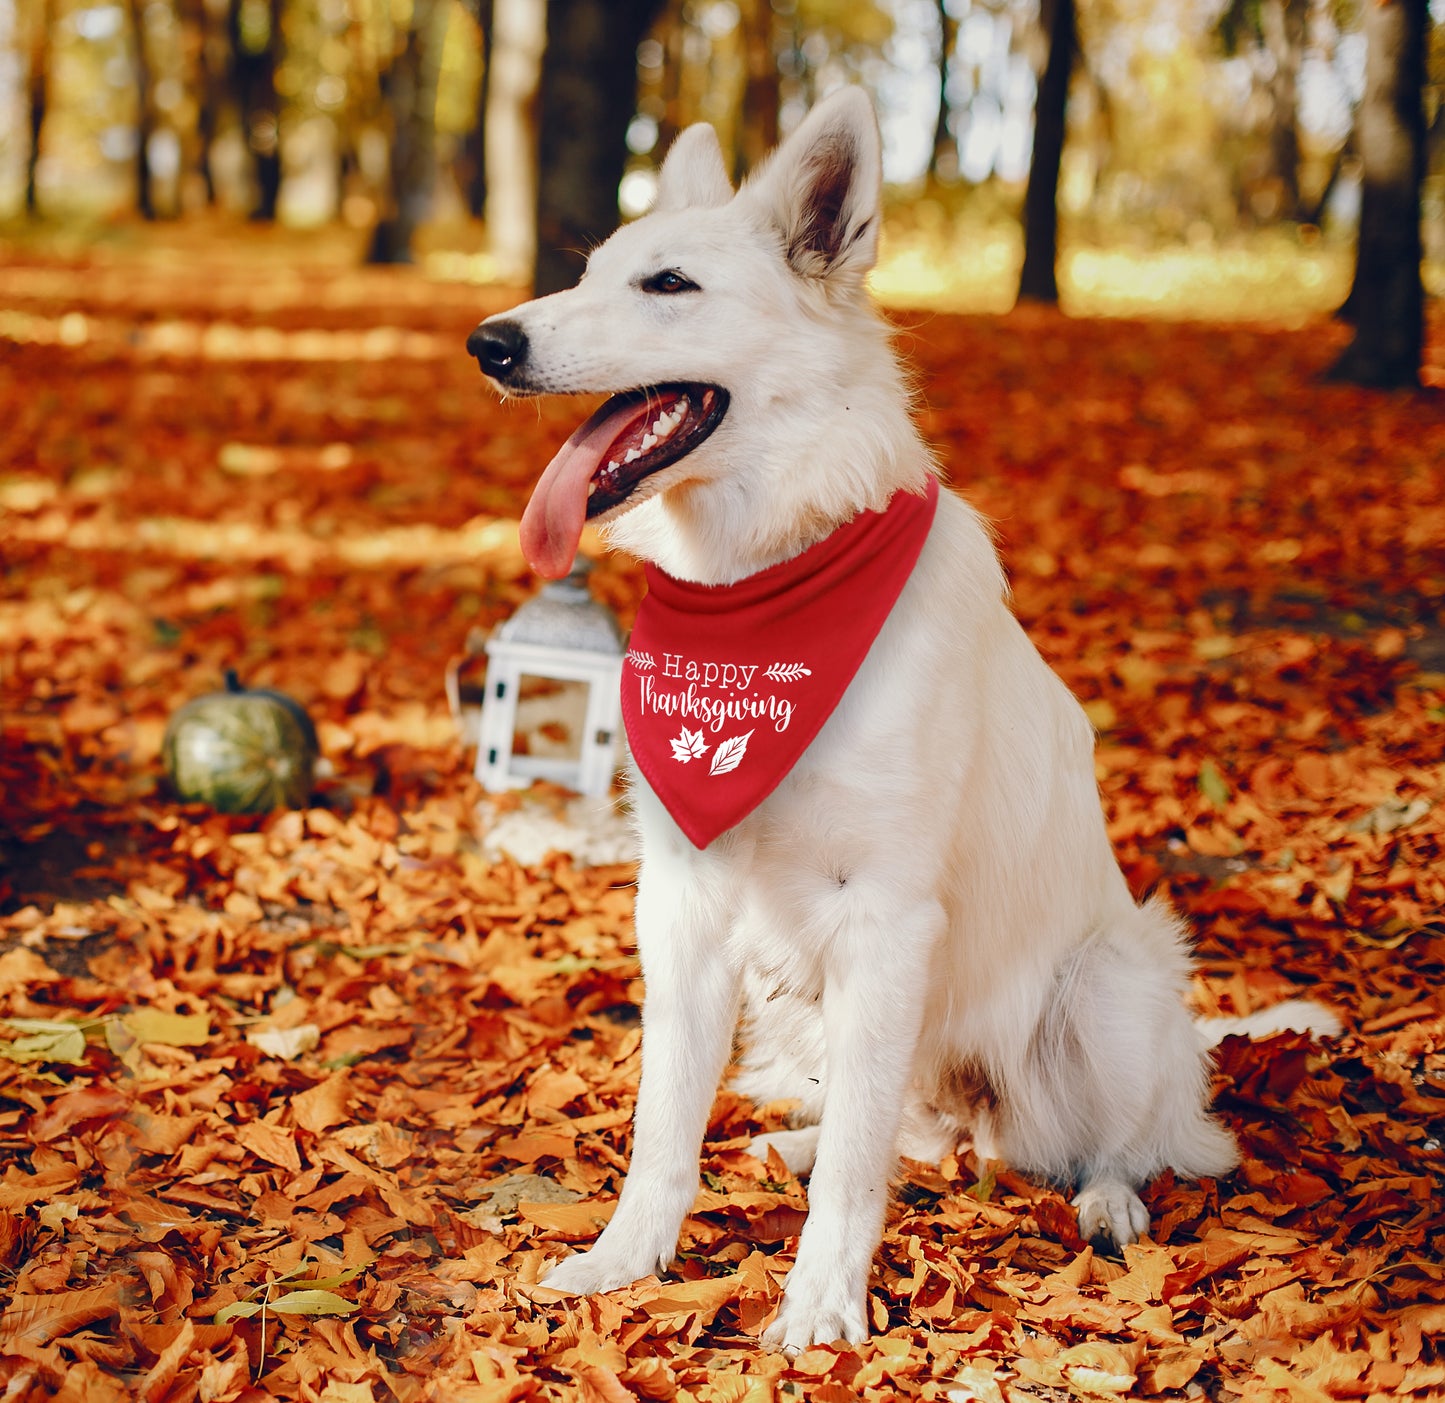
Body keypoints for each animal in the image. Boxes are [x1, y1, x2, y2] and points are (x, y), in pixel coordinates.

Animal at [468, 90, 1335, 1358]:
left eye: (666, 285)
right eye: (584, 274)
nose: (489, 342)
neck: (768, 578)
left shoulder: (883, 916)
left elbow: (855, 1170)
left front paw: (821, 1304)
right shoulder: (683, 900)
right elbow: (665, 1120)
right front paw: (629, 1258)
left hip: (1103, 987)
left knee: (1137, 1142)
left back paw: (1109, 1199)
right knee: (909, 1130)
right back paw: (798, 1139)